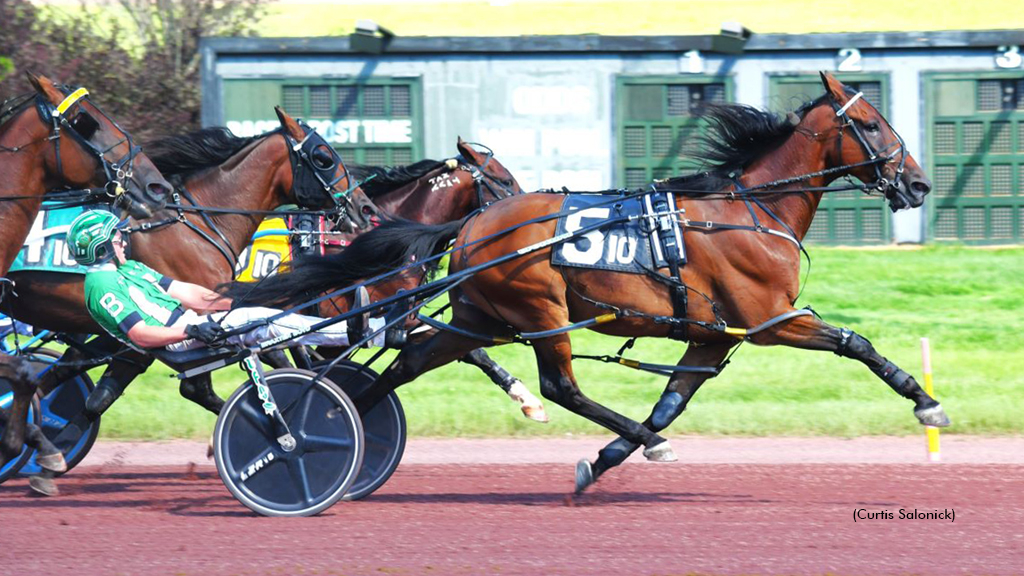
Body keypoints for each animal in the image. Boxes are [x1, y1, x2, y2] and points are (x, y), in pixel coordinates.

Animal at [228, 73, 946, 491]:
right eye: (872, 124)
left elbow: (673, 398)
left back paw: (326, 433)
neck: (748, 211)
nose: (917, 184)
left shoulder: (713, 335)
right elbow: (855, 342)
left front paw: (605, 460)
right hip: (540, 309)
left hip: (478, 319)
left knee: (400, 370)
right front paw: (925, 401)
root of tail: (473, 223)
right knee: (559, 385)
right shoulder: (771, 318)